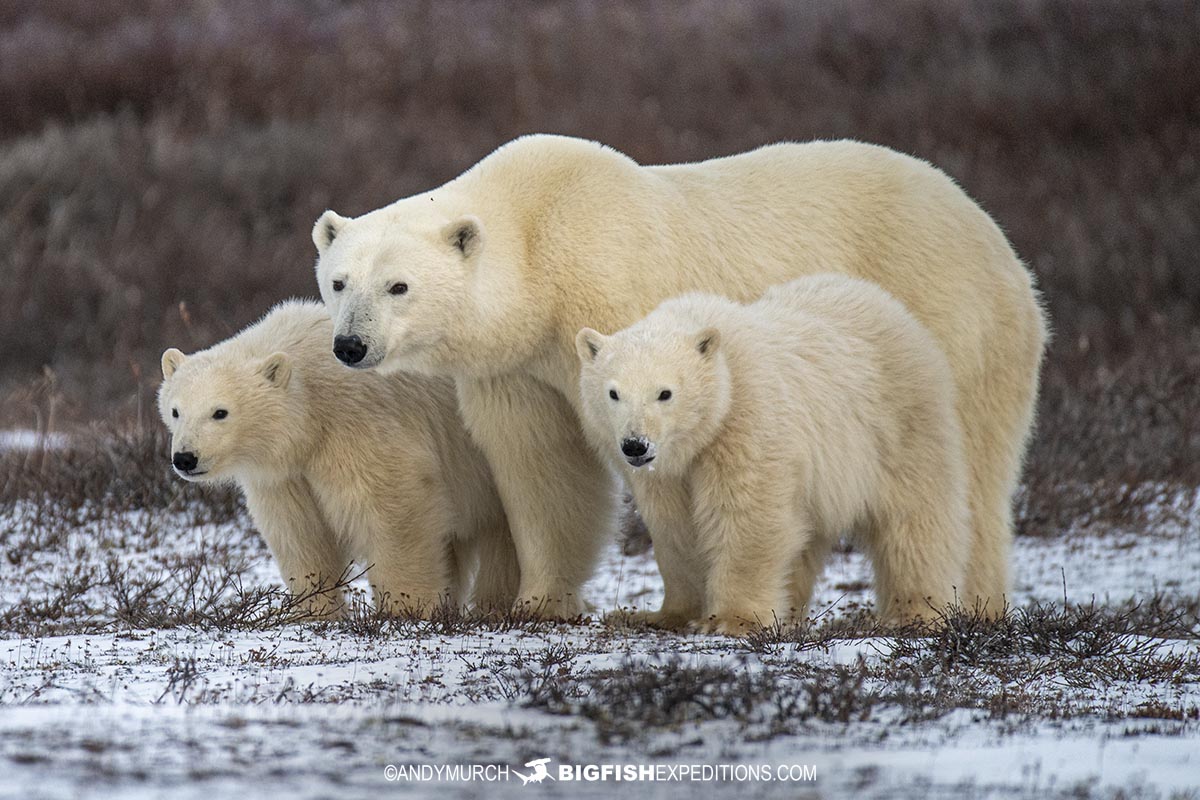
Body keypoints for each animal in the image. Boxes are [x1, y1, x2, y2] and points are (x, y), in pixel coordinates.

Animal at [157, 299, 518, 618]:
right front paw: (313, 611)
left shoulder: (361, 427)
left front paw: (407, 608)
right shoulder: (286, 476)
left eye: (220, 412)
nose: (185, 458)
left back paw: (493, 608)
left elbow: (396, 513)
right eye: (175, 411)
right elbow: (300, 534)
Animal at [573, 275, 974, 633]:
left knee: (913, 517)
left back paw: (913, 612)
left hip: (900, 423)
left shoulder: (747, 419)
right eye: (614, 393)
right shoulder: (668, 470)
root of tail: (889, 304)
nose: (636, 445)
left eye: (665, 393)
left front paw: (732, 620)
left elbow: (747, 516)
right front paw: (664, 615)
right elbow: (677, 527)